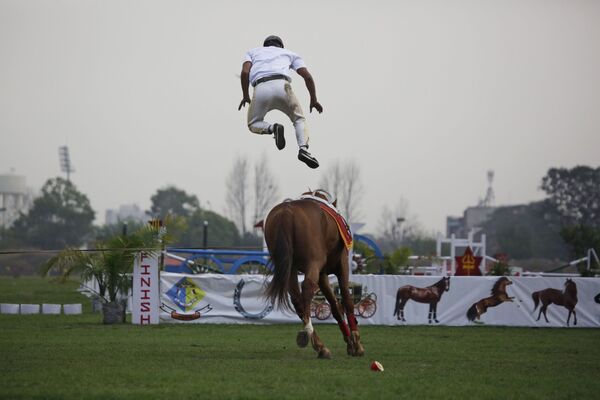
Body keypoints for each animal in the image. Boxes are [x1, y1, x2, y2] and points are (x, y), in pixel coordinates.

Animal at [264, 191, 366, 360]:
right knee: (307, 288)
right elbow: (346, 299)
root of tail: (287, 211)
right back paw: (309, 334)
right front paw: (356, 342)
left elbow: (336, 307)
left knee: (297, 300)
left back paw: (320, 345)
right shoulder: (342, 265)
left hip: (290, 267)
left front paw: (350, 342)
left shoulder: (322, 274)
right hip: (313, 262)